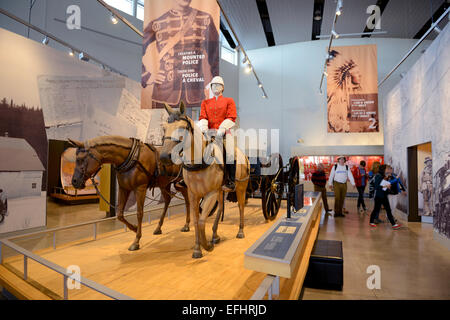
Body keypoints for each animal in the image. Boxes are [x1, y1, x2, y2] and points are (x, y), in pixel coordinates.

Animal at [158, 104, 250, 258]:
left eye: (183, 127)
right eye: (164, 128)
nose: (165, 156)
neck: (199, 162)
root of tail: (244, 156)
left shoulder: (210, 193)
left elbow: (201, 221)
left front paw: (206, 245)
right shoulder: (193, 195)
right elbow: (196, 221)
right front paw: (197, 248)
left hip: (240, 188)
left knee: (241, 207)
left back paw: (240, 231)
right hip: (220, 191)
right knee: (220, 209)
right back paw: (215, 235)